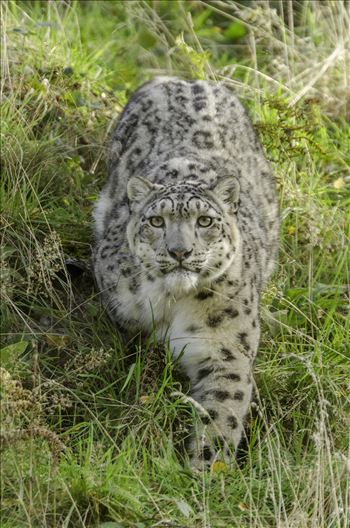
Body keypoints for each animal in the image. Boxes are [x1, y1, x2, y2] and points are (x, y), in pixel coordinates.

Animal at [93, 76, 278, 468]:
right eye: (156, 221)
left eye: (204, 221)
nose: (180, 251)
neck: (172, 301)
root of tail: (190, 79)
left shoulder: (225, 348)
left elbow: (222, 413)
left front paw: (207, 468)